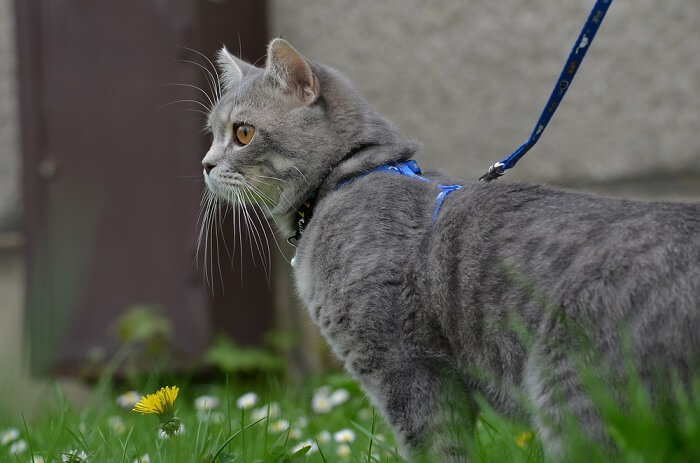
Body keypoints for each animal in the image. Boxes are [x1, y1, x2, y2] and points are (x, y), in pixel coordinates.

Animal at [201, 39, 700, 460]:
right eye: (212, 133)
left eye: (242, 133)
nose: (205, 164)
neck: (342, 182)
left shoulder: (407, 369)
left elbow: (434, 446)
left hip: (572, 392)